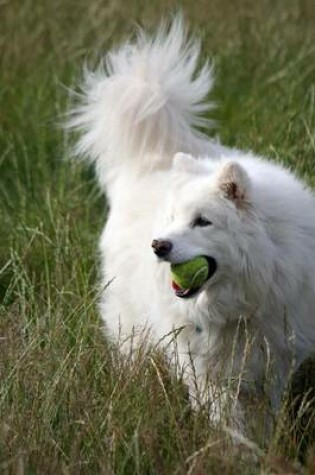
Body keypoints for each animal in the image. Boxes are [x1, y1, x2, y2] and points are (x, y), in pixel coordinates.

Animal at [70, 19, 315, 432]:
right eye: (171, 220)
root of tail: (153, 160)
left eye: (202, 222)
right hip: (131, 326)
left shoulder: (274, 357)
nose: (158, 245)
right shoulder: (200, 362)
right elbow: (225, 414)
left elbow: (263, 413)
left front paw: (264, 444)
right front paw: (232, 444)